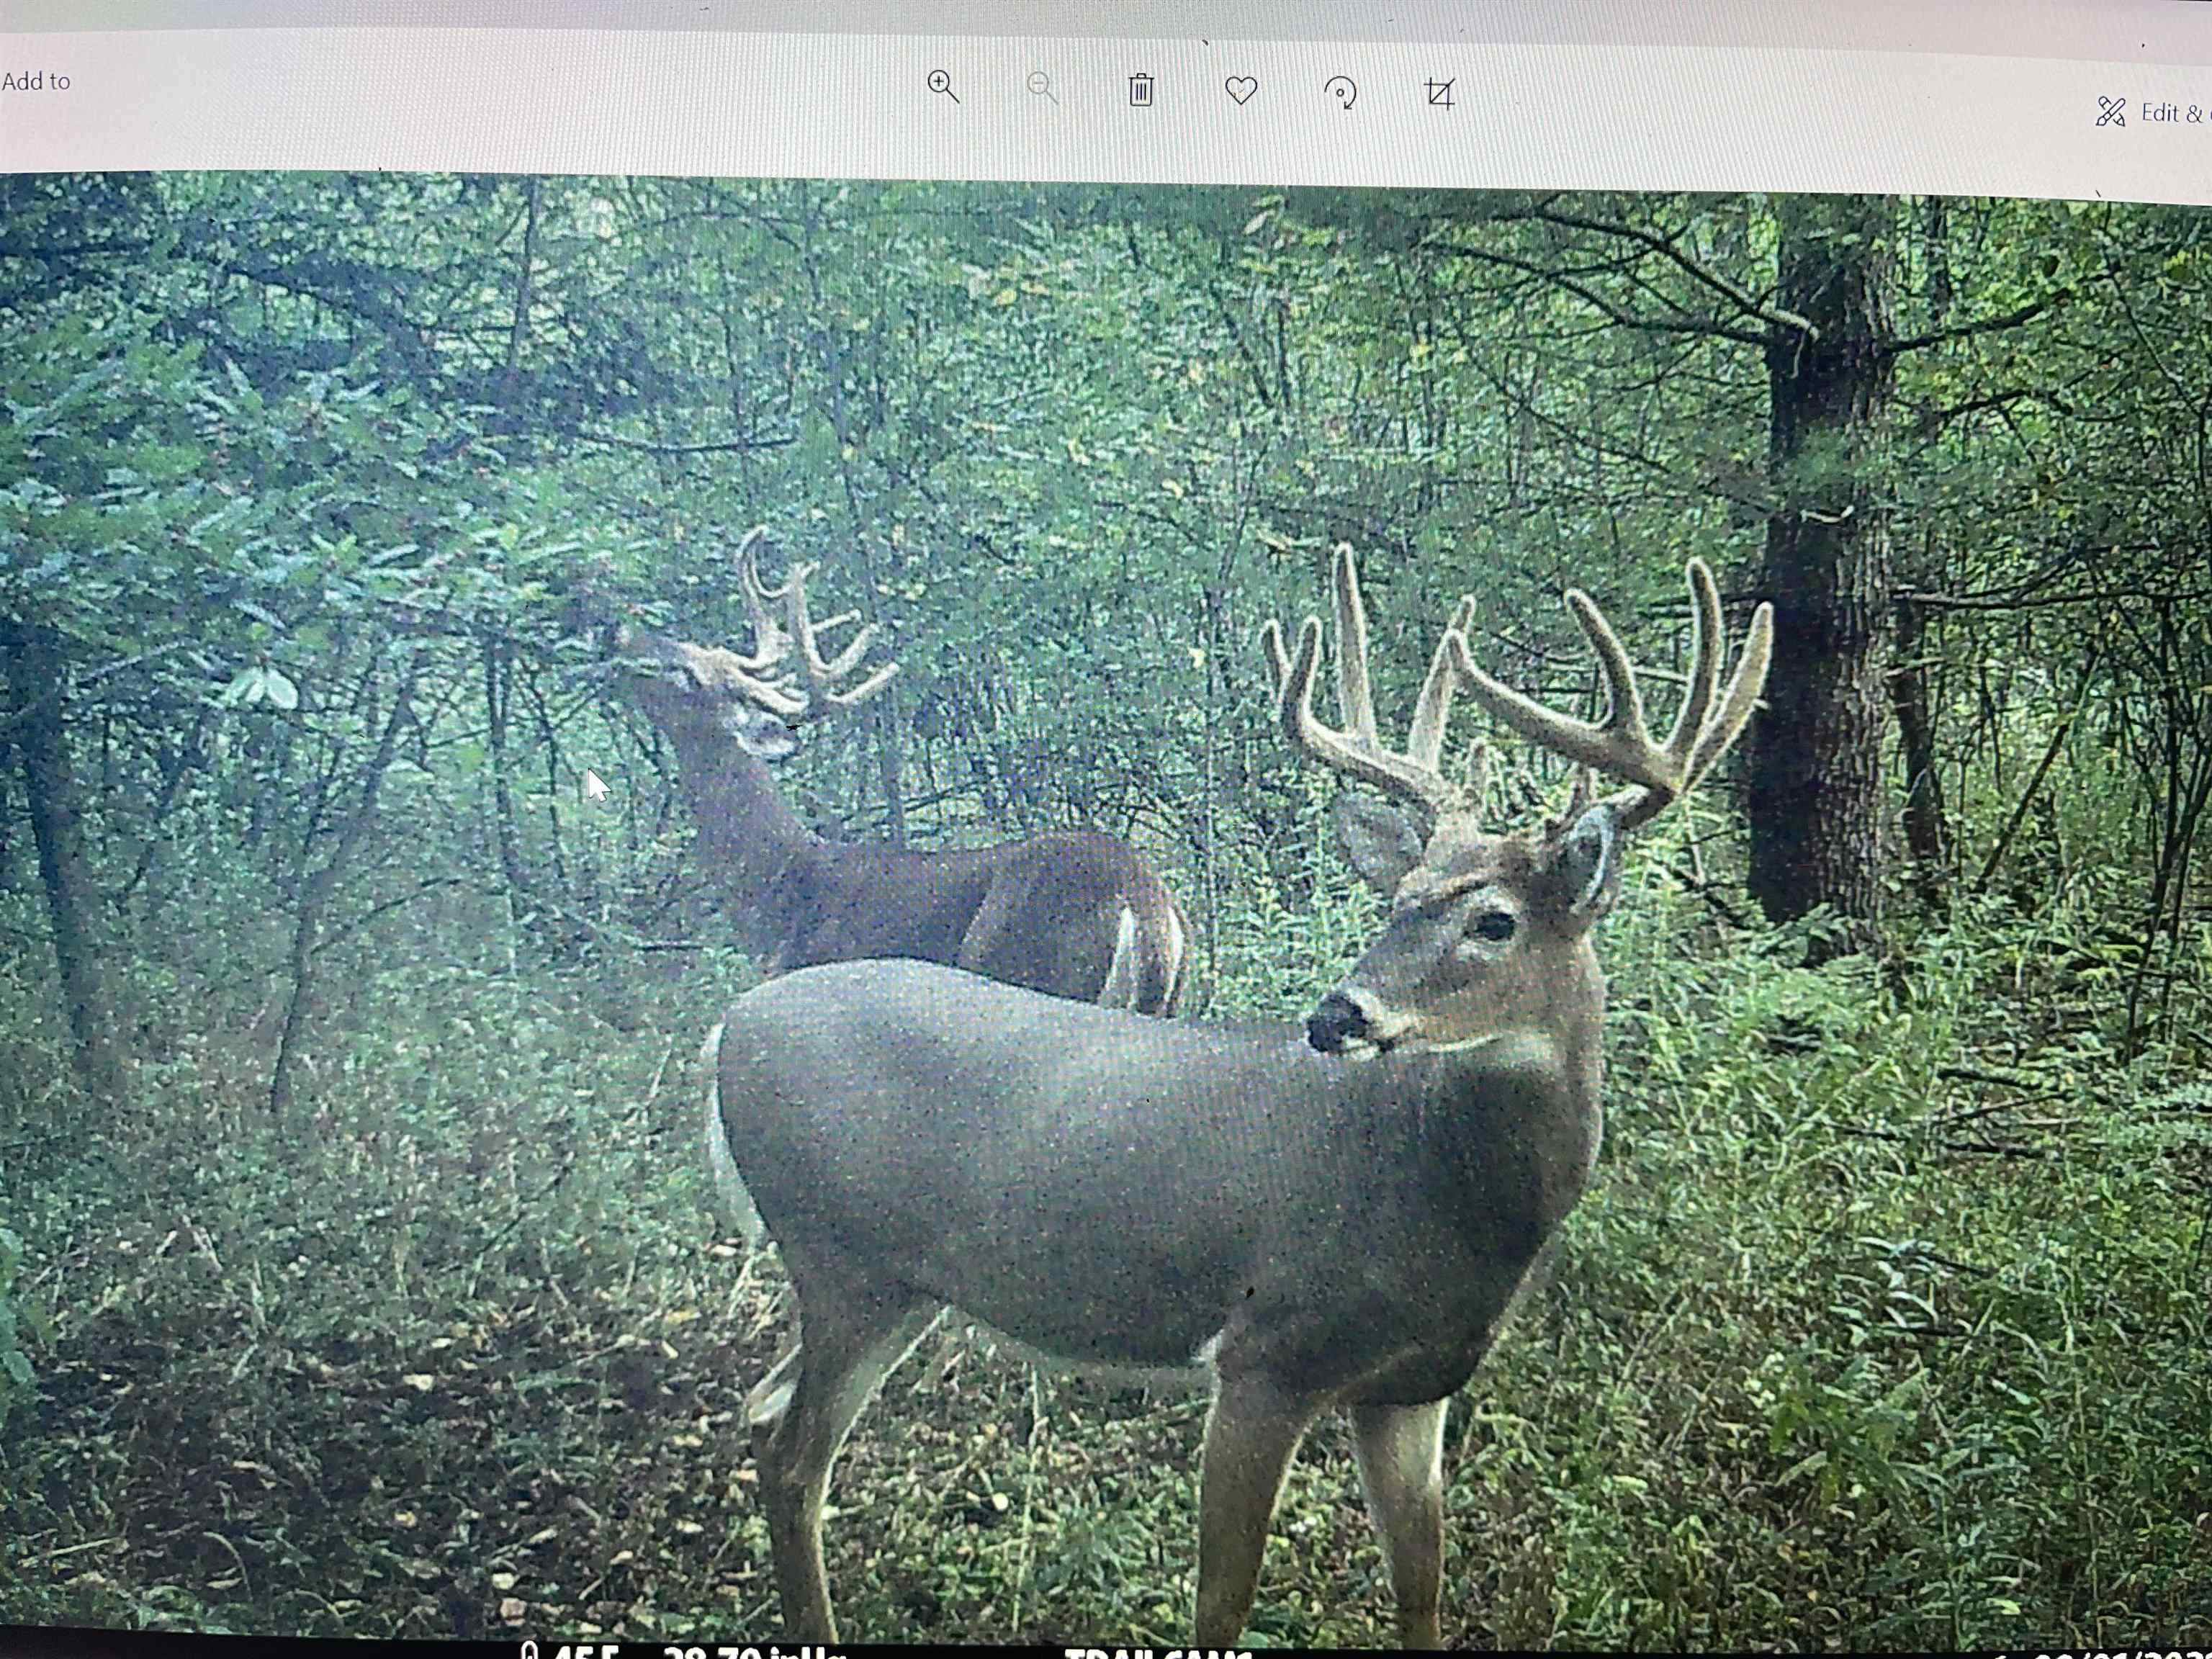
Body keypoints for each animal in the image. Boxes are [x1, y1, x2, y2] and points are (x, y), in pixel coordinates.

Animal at [700, 545, 1772, 1645]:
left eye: (1494, 921)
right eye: (1396, 902)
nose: (1337, 1014)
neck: (1444, 1202)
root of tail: (730, 1029)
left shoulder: (1412, 1389)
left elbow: (1422, 1593)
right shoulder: (1265, 1354)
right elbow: (1223, 1600)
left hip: (890, 1285)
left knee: (761, 1413)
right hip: (844, 1262)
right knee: (793, 1456)